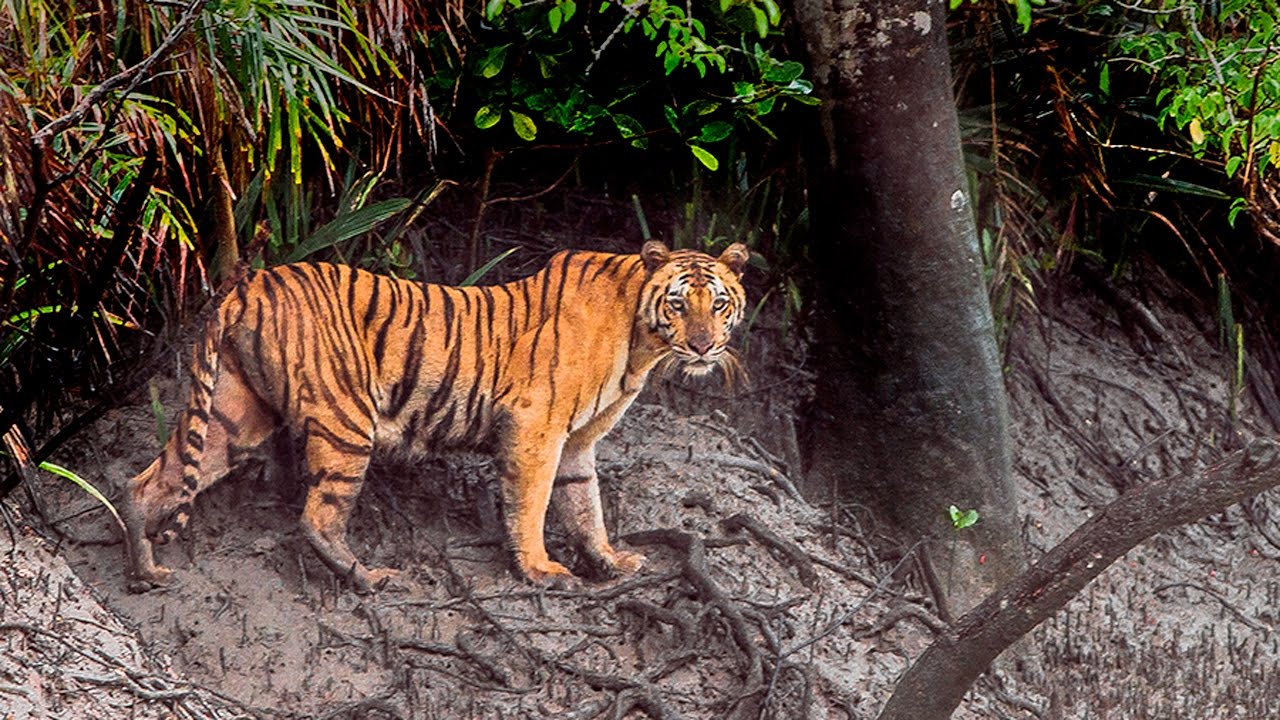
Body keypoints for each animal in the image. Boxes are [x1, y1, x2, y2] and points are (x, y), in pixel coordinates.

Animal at [120, 239, 747, 589]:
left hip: (234, 415)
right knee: (317, 518)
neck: (642, 343)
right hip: (347, 421)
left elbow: (584, 505)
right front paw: (540, 570)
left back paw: (145, 572)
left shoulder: (577, 442)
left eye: (719, 304)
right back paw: (369, 578)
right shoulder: (536, 427)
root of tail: (248, 284)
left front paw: (611, 561)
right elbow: (533, 504)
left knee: (147, 481)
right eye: (678, 303)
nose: (702, 346)